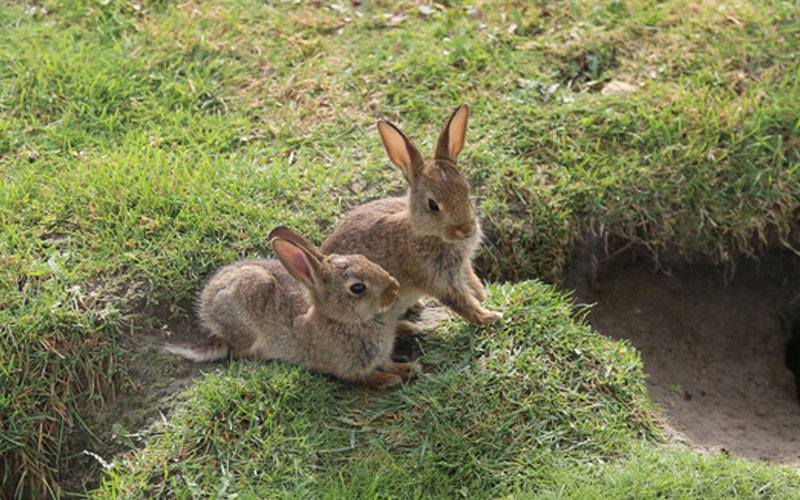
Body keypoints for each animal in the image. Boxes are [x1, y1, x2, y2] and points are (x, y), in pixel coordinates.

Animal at [167, 226, 410, 389]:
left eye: (363, 258)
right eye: (358, 288)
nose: (394, 288)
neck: (343, 320)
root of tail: (206, 309)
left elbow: (387, 362)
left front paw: (405, 368)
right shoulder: (349, 367)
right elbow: (365, 377)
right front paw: (390, 379)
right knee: (239, 352)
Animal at [321, 103, 502, 334]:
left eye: (466, 191)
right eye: (432, 205)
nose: (466, 229)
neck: (423, 232)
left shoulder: (461, 267)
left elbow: (472, 280)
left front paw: (483, 295)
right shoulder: (438, 279)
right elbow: (462, 303)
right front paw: (492, 316)